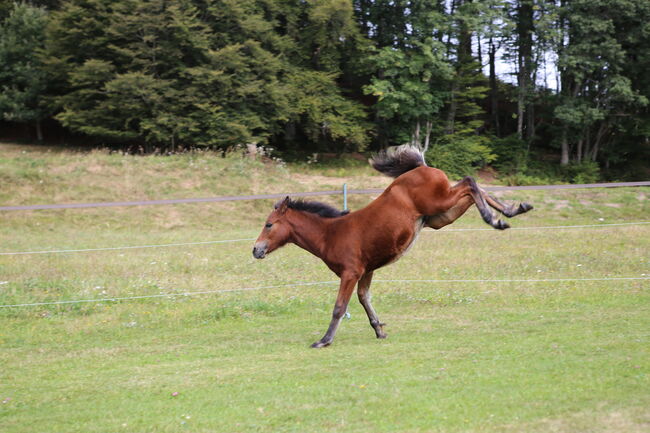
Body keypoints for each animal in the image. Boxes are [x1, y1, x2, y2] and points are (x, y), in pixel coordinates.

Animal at [251, 146, 528, 348]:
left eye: (268, 224)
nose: (256, 250)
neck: (331, 233)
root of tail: (422, 167)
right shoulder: (366, 271)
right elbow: (364, 299)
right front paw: (379, 330)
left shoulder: (350, 273)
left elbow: (340, 307)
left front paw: (324, 340)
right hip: (441, 217)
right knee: (473, 189)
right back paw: (512, 211)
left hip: (440, 203)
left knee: (469, 183)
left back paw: (494, 218)